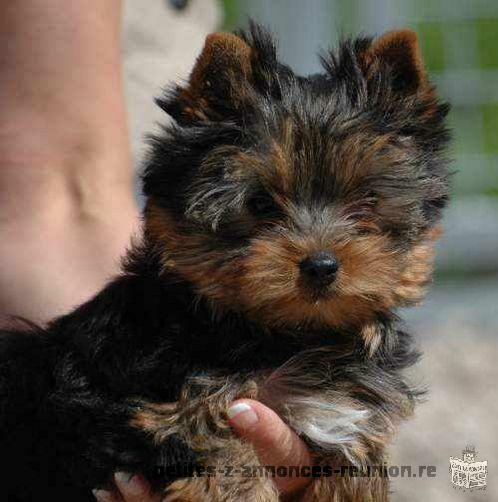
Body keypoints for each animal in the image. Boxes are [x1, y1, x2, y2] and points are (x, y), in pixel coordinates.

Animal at [0, 24, 452, 502]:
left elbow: (355, 469)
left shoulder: (345, 415)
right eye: (259, 203)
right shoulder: (155, 412)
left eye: (368, 200)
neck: (280, 335)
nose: (321, 265)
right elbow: (223, 455)